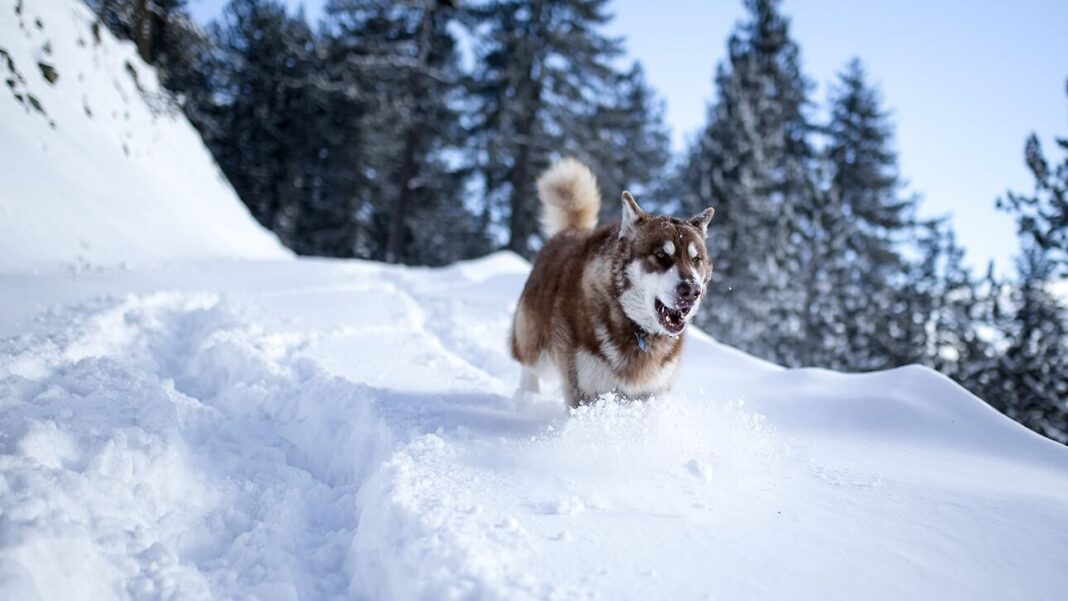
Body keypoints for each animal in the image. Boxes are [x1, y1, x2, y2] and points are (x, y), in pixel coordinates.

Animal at [510, 157, 713, 407]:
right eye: (661, 255)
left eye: (696, 259)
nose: (692, 290)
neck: (635, 327)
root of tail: (571, 230)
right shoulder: (586, 390)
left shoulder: (651, 392)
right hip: (537, 346)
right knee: (528, 365)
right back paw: (527, 396)